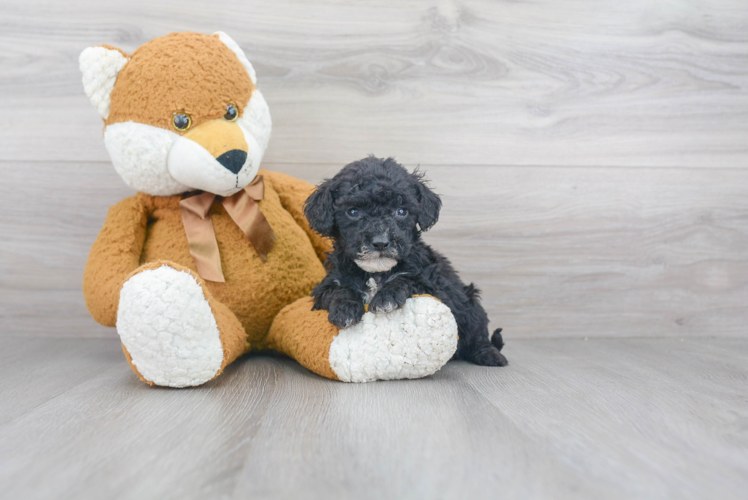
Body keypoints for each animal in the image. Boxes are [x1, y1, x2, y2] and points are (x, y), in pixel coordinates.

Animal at [304, 156, 508, 368]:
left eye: (401, 211)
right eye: (353, 212)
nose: (380, 242)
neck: (375, 273)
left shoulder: (436, 286)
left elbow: (408, 279)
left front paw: (387, 297)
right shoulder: (327, 283)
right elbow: (337, 289)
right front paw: (346, 310)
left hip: (470, 302)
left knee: (478, 333)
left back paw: (490, 355)